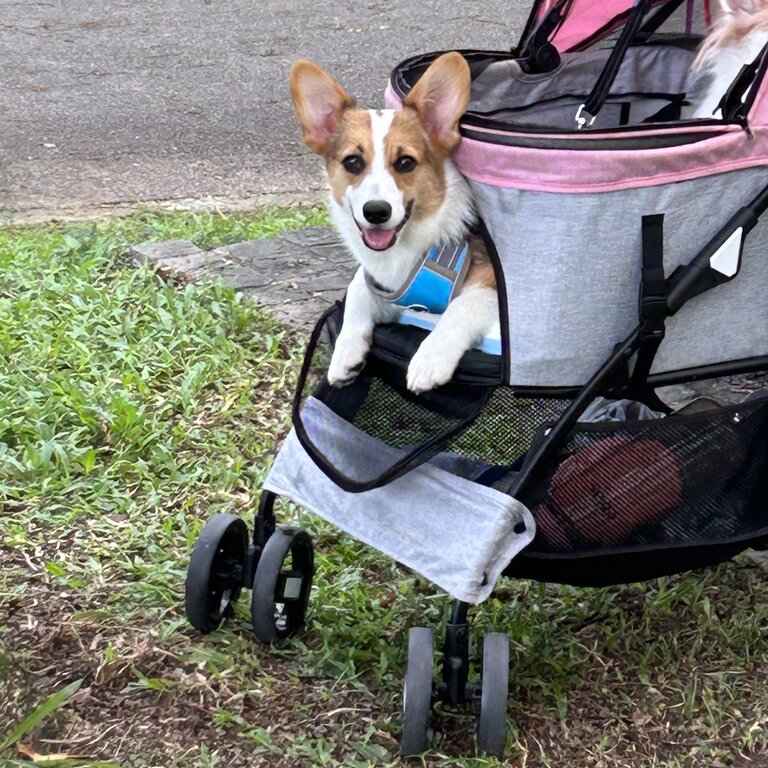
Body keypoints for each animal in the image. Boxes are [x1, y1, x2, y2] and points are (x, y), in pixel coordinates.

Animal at [290, 52, 498, 396]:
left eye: (405, 163)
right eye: (352, 162)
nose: (376, 212)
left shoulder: (492, 283)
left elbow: (460, 309)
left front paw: (430, 360)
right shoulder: (384, 288)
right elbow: (357, 289)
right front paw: (346, 353)